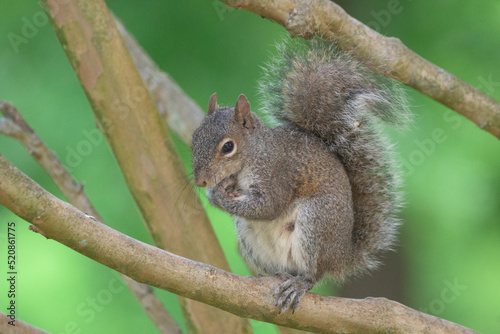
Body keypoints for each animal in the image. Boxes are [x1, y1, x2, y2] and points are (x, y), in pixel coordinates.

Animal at [190, 38, 410, 314]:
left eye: (228, 146)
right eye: (194, 138)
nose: (200, 181)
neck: (255, 154)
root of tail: (342, 255)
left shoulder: (278, 173)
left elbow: (268, 207)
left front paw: (218, 196)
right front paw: (217, 191)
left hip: (316, 221)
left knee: (313, 274)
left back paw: (299, 284)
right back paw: (272, 276)